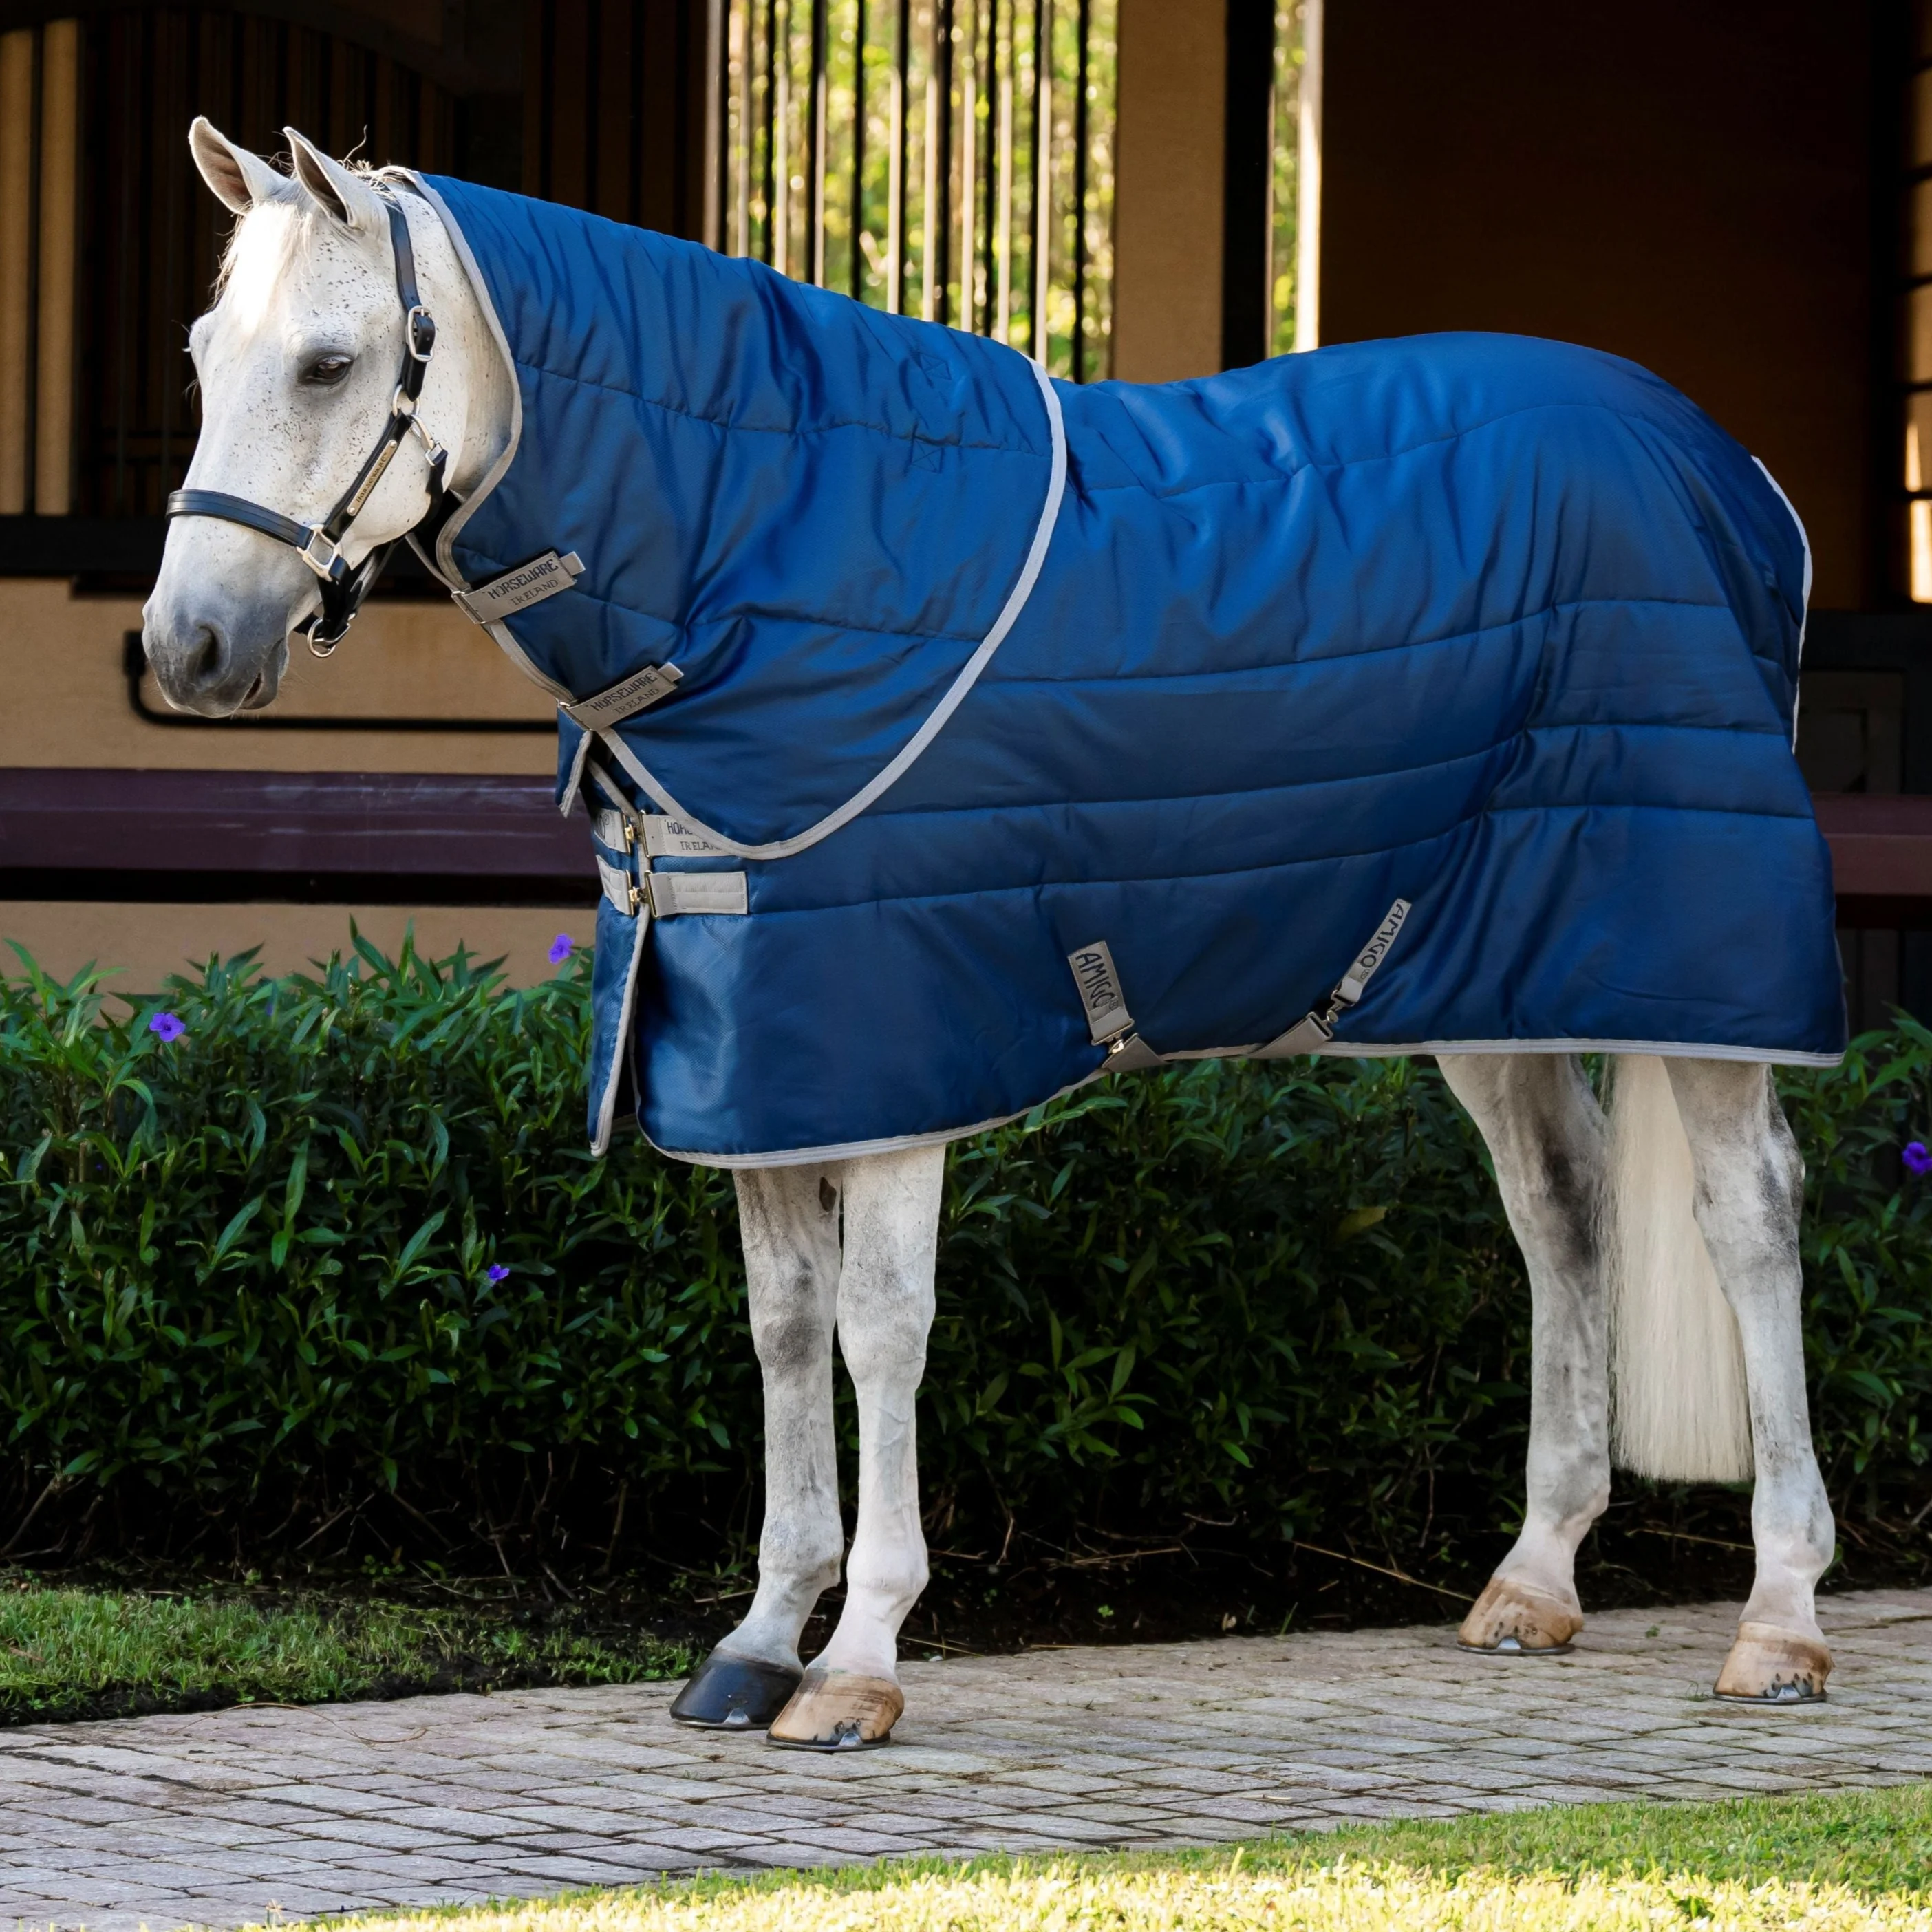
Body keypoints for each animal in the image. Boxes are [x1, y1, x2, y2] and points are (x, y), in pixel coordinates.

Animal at [144, 120, 1843, 1751]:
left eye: (328, 363)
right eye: (205, 351)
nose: (188, 646)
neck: (757, 551)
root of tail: (1737, 473)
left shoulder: (890, 1052)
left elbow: (880, 1331)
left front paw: (857, 1665)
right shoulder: (758, 1055)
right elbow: (783, 1329)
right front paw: (758, 1639)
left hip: (1695, 959)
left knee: (1749, 1218)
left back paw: (1780, 1621)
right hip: (1482, 968)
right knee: (1560, 1207)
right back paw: (1533, 1579)